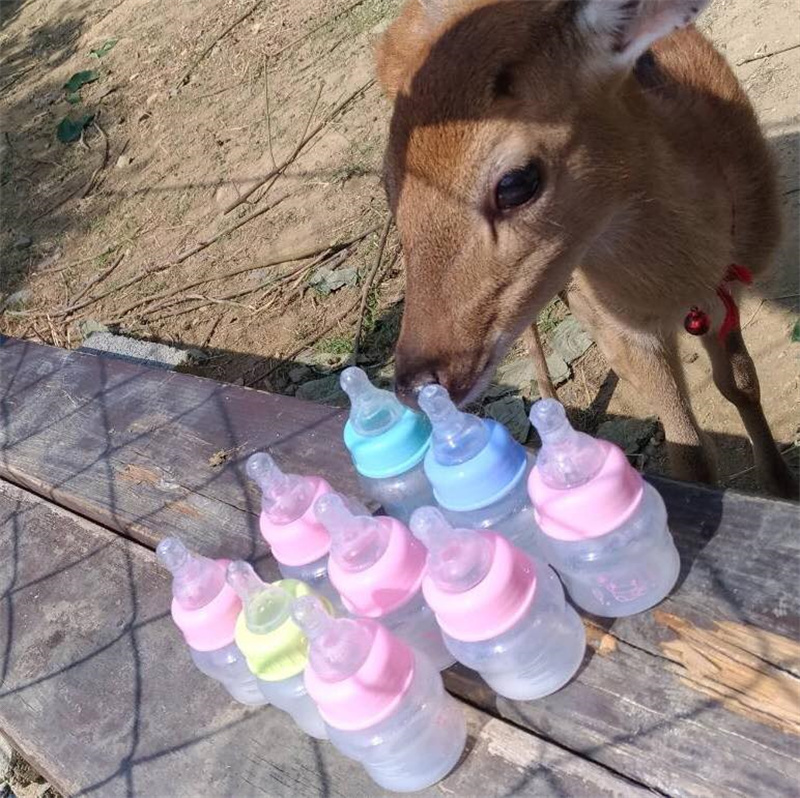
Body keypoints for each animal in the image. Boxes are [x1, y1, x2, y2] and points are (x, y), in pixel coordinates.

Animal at [374, 0, 796, 498]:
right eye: (388, 187)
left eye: (516, 182)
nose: (414, 384)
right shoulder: (625, 326)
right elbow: (688, 452)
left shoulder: (724, 291)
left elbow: (742, 383)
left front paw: (782, 486)